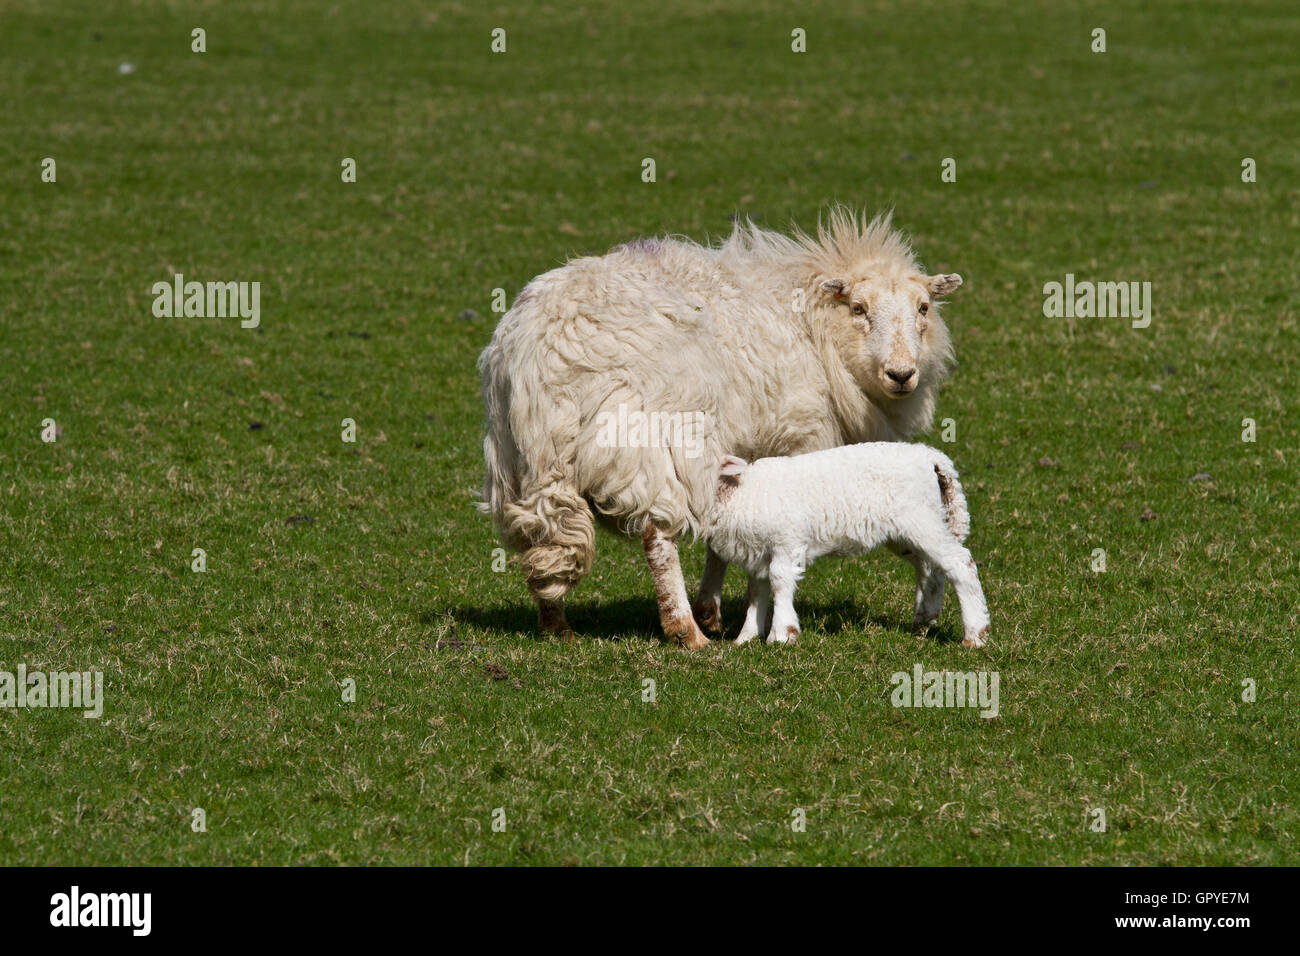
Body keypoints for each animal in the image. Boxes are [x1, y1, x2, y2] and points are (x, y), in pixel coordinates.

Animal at [702, 443, 990, 648]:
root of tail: (930, 456)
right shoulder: (759, 552)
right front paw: (746, 638)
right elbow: (756, 591)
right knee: (930, 567)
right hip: (907, 532)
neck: (743, 492)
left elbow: (779, 581)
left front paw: (782, 635)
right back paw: (925, 617)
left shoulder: (786, 541)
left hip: (921, 518)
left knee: (960, 563)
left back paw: (975, 635)